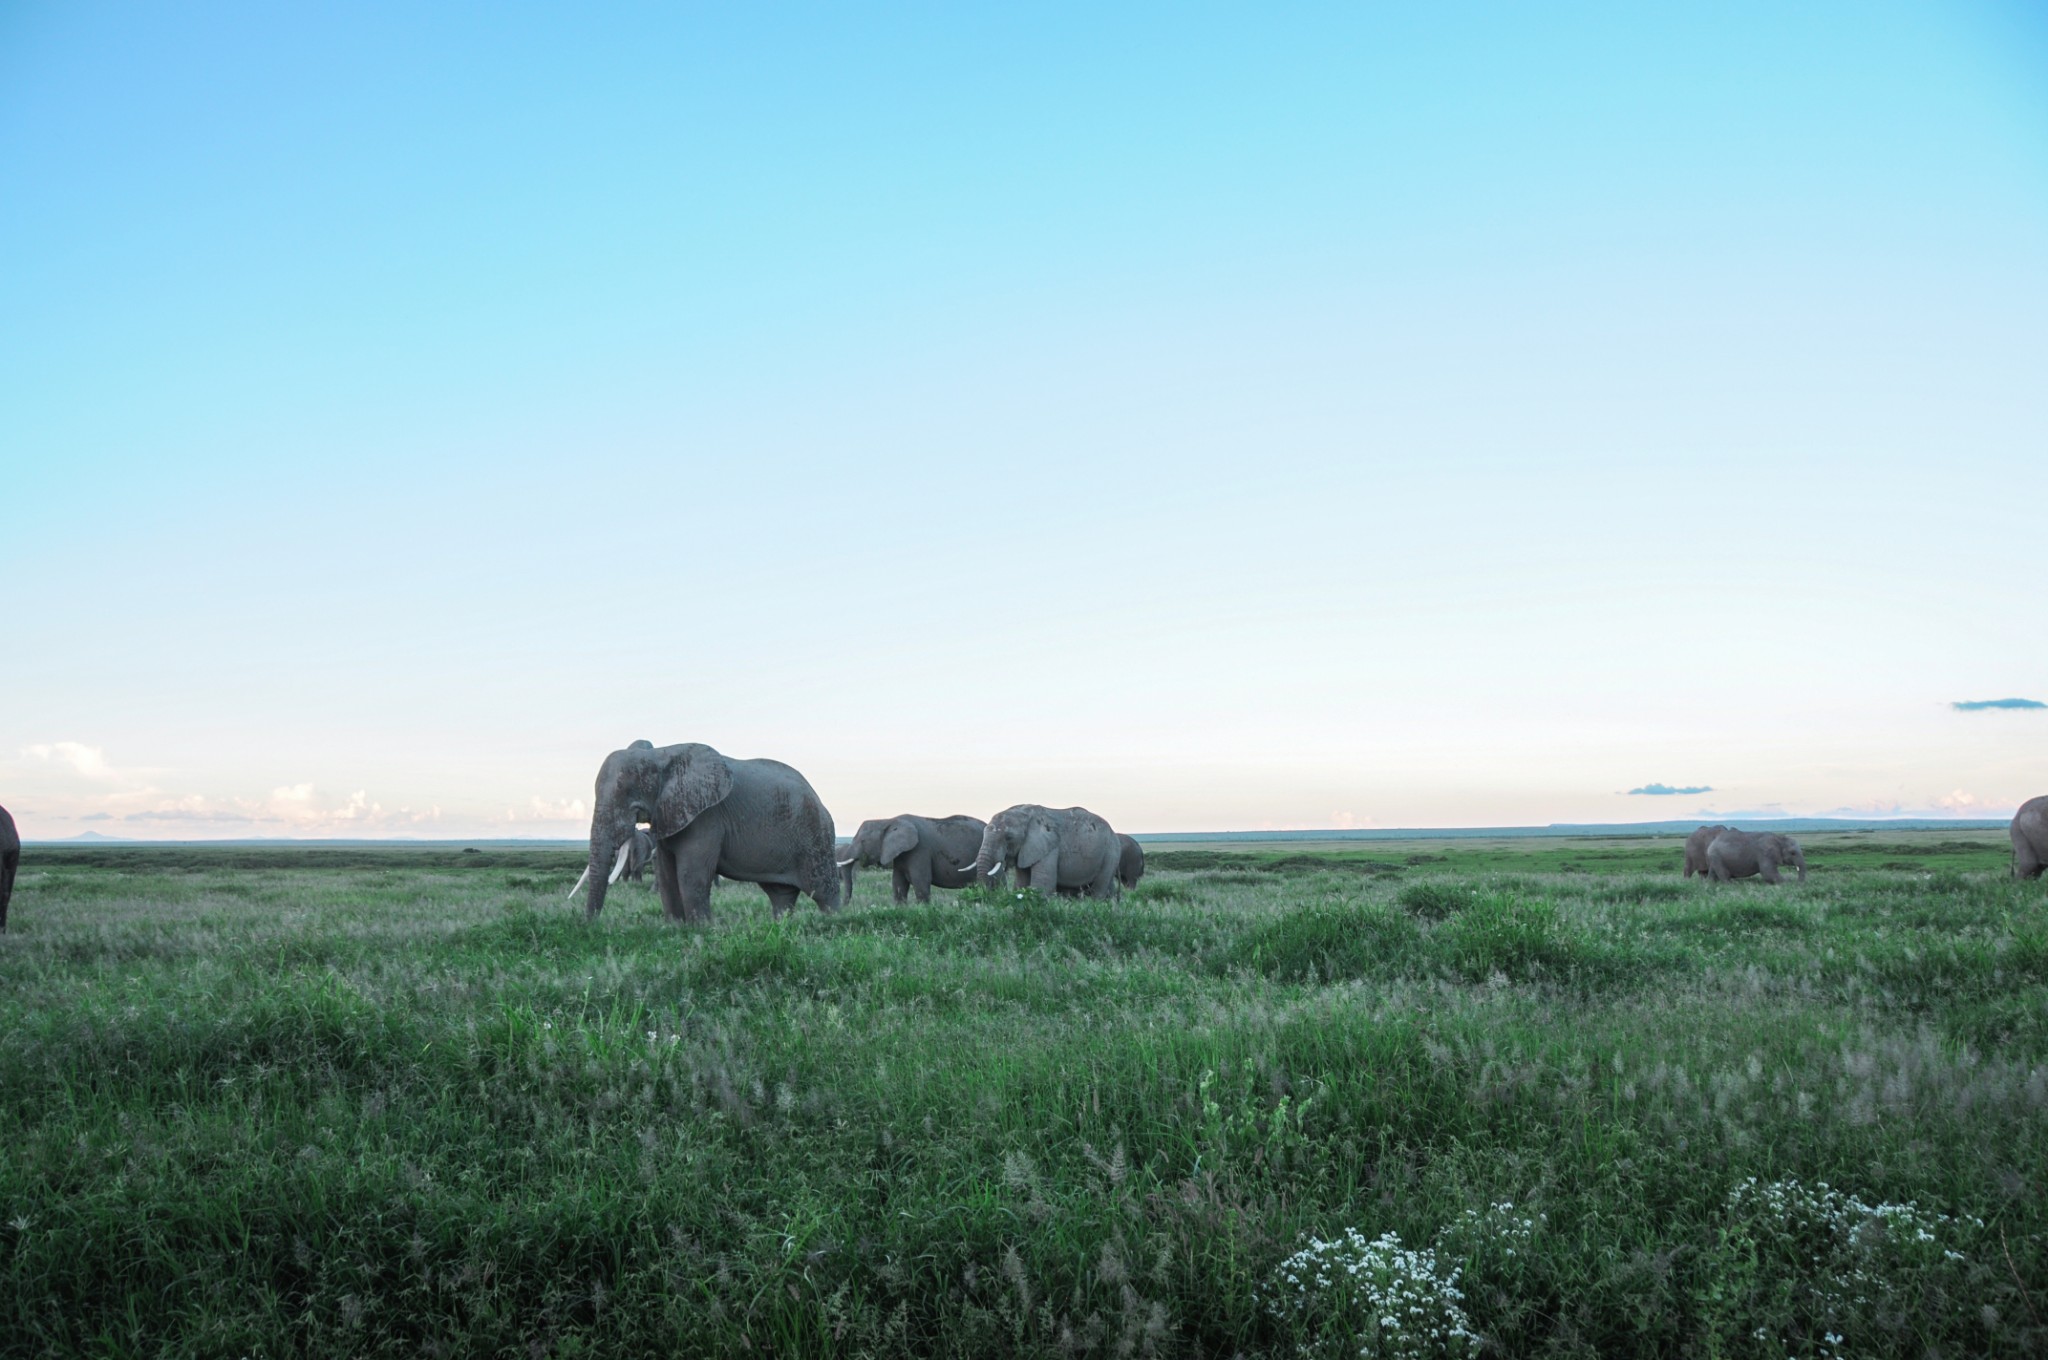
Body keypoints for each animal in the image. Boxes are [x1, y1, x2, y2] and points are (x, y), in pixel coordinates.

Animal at [569, 745, 839, 925]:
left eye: (627, 793)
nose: (590, 925)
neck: (661, 755)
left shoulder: (705, 815)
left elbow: (691, 872)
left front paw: (703, 929)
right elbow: (666, 871)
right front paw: (675, 927)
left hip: (816, 836)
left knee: (823, 892)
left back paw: (835, 923)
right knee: (781, 895)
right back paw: (781, 926)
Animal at [970, 806, 1122, 901]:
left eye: (1008, 837)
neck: (1024, 813)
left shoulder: (1048, 847)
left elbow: (1042, 885)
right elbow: (1021, 883)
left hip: (1111, 852)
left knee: (1099, 888)